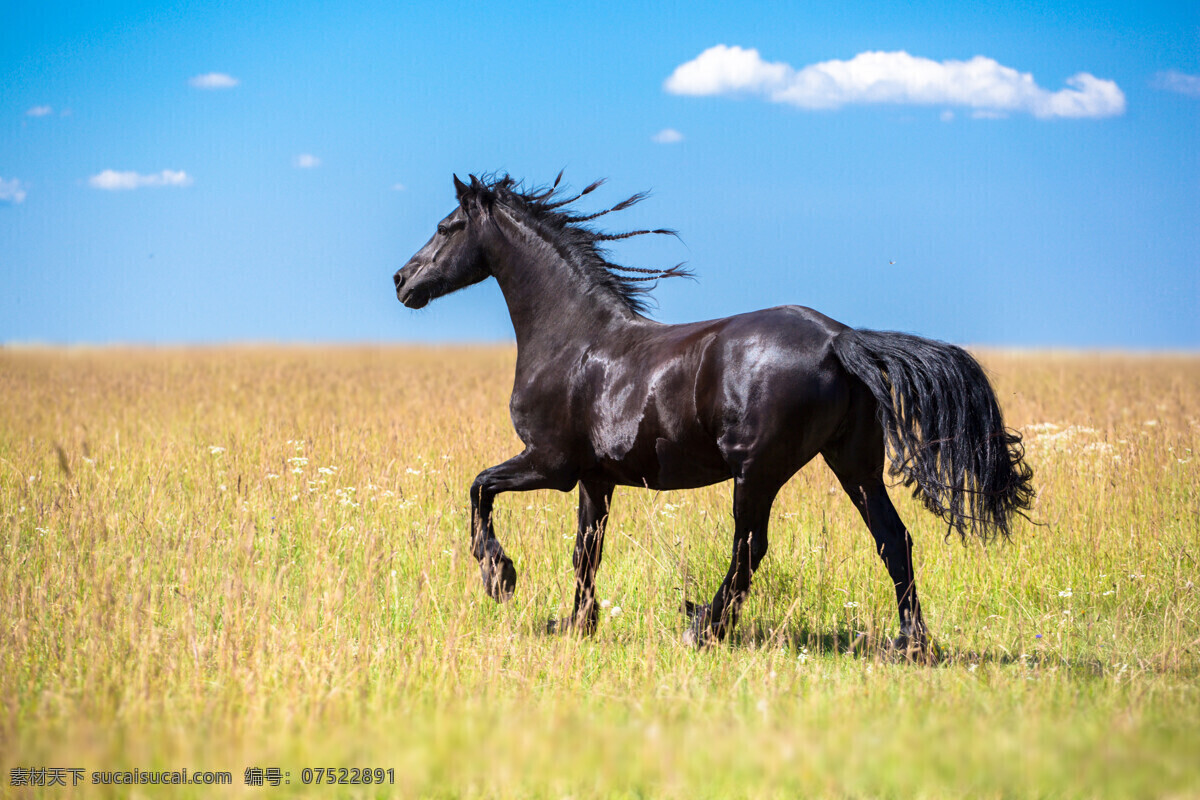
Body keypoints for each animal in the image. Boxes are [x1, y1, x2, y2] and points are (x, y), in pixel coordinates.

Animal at [393, 175, 1032, 652]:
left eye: (447, 227)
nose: (402, 281)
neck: (573, 339)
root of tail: (838, 338)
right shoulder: (596, 480)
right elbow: (585, 551)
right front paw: (576, 623)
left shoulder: (551, 464)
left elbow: (480, 488)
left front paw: (500, 577)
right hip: (854, 466)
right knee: (892, 539)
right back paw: (911, 644)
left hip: (759, 472)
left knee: (751, 548)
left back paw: (704, 626)